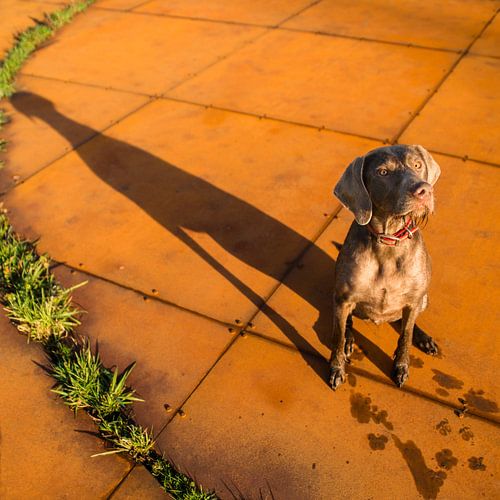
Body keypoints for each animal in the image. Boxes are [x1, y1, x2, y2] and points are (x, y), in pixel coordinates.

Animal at [328, 143, 442, 388]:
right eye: (383, 172)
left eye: (417, 165)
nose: (424, 190)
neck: (388, 241)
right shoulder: (343, 299)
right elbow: (337, 337)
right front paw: (336, 367)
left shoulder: (414, 300)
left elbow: (405, 336)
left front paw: (401, 366)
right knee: (347, 324)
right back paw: (350, 340)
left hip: (423, 298)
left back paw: (423, 338)